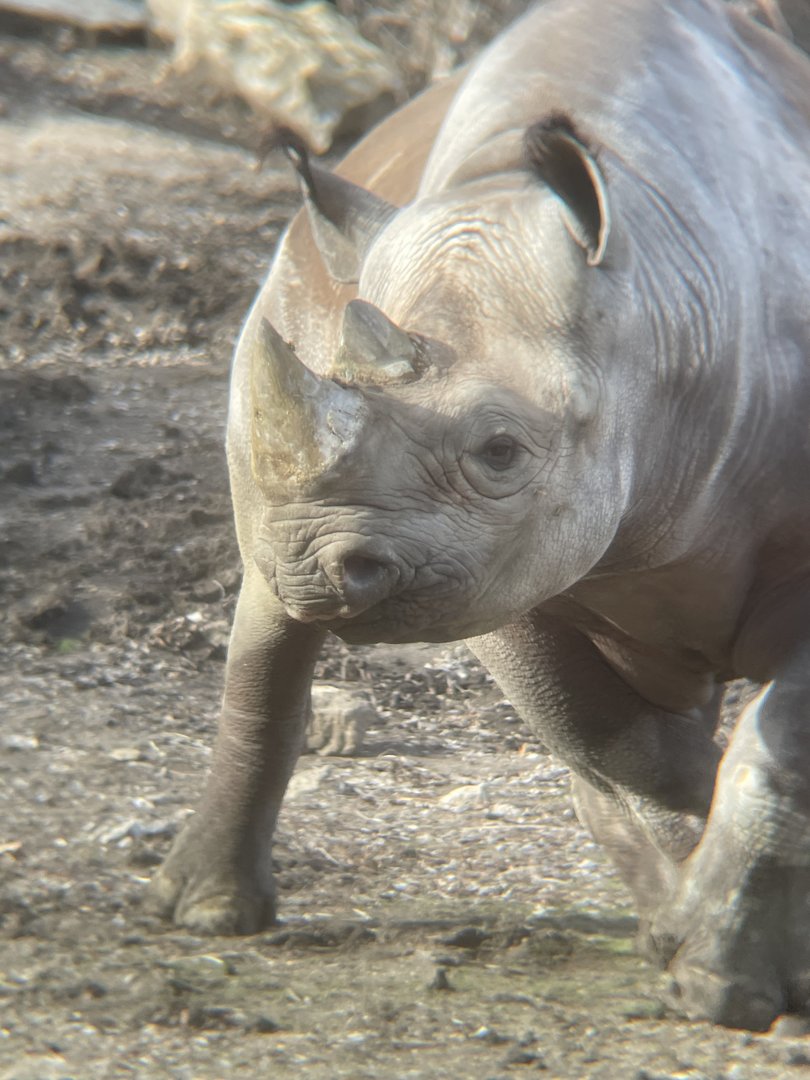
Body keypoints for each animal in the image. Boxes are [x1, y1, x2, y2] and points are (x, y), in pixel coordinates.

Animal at [148, 0, 810, 1030]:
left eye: (501, 450)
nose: (316, 562)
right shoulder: (491, 564)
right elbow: (613, 740)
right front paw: (697, 932)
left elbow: (776, 752)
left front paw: (715, 970)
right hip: (301, 281)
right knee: (269, 622)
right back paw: (211, 915)